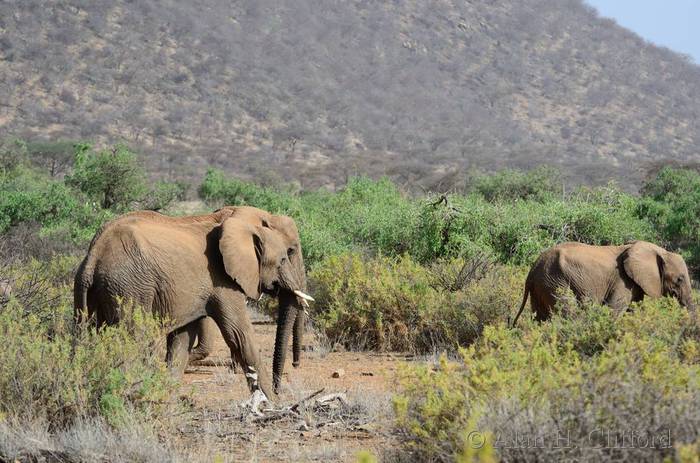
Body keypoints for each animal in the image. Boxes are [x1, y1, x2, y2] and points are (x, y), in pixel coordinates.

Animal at [74, 206, 313, 406]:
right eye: (286, 256)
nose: (295, 366)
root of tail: (94, 255)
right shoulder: (222, 279)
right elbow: (240, 333)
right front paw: (275, 403)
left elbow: (182, 339)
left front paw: (165, 401)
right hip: (129, 287)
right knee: (132, 340)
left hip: (89, 291)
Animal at [511, 240, 694, 326]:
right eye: (679, 279)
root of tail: (533, 268)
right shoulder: (622, 281)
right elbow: (614, 311)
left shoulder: (634, 283)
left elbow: (633, 310)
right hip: (556, 282)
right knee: (568, 313)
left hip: (543, 285)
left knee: (540, 318)